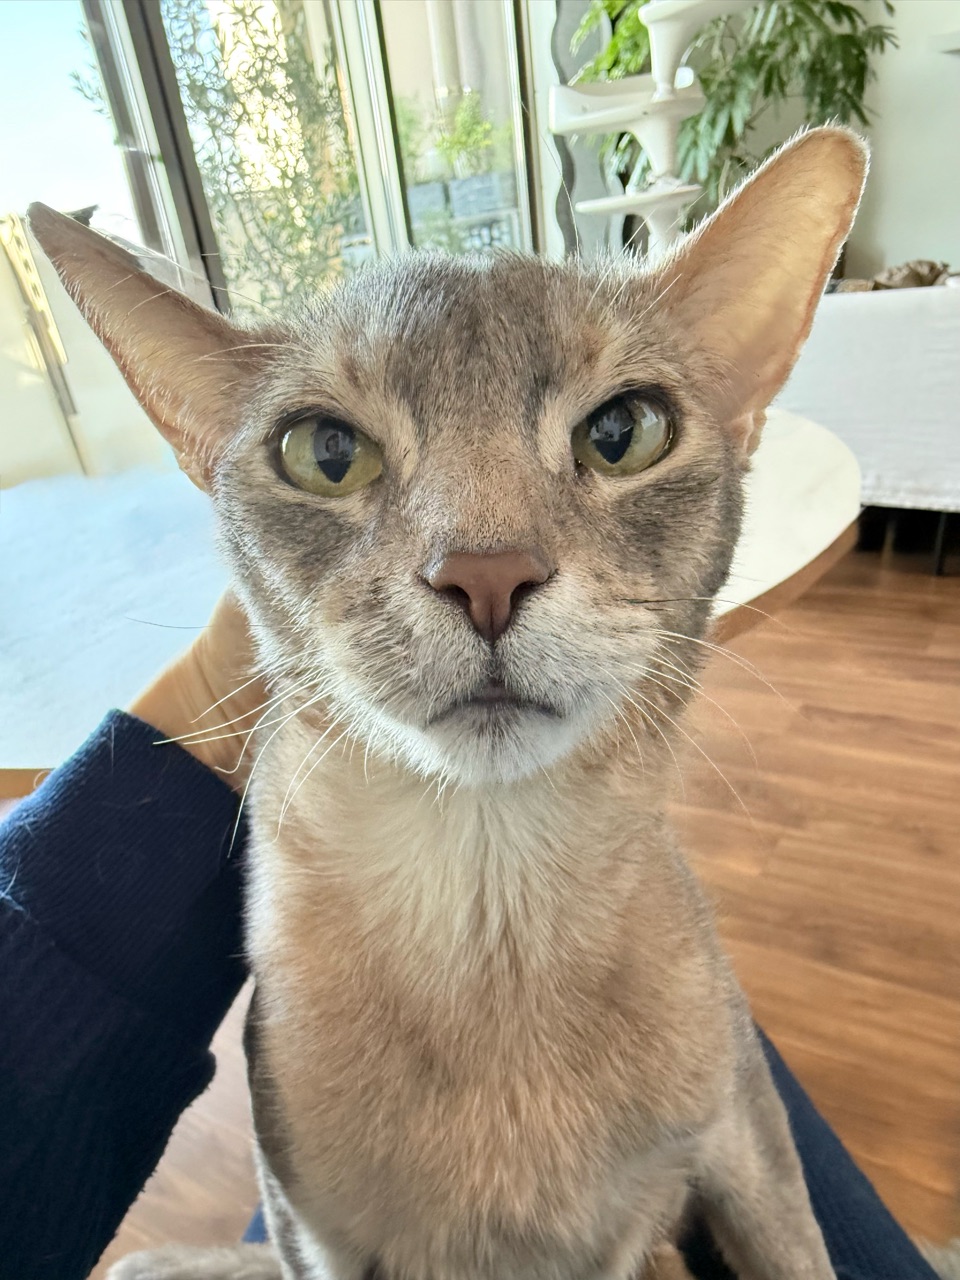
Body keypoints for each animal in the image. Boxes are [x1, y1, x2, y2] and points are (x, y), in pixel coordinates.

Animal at [30, 126, 867, 1280]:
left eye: (624, 431)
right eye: (327, 453)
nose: (486, 573)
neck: (490, 917)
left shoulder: (738, 1137)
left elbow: (787, 1242)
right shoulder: (305, 1234)